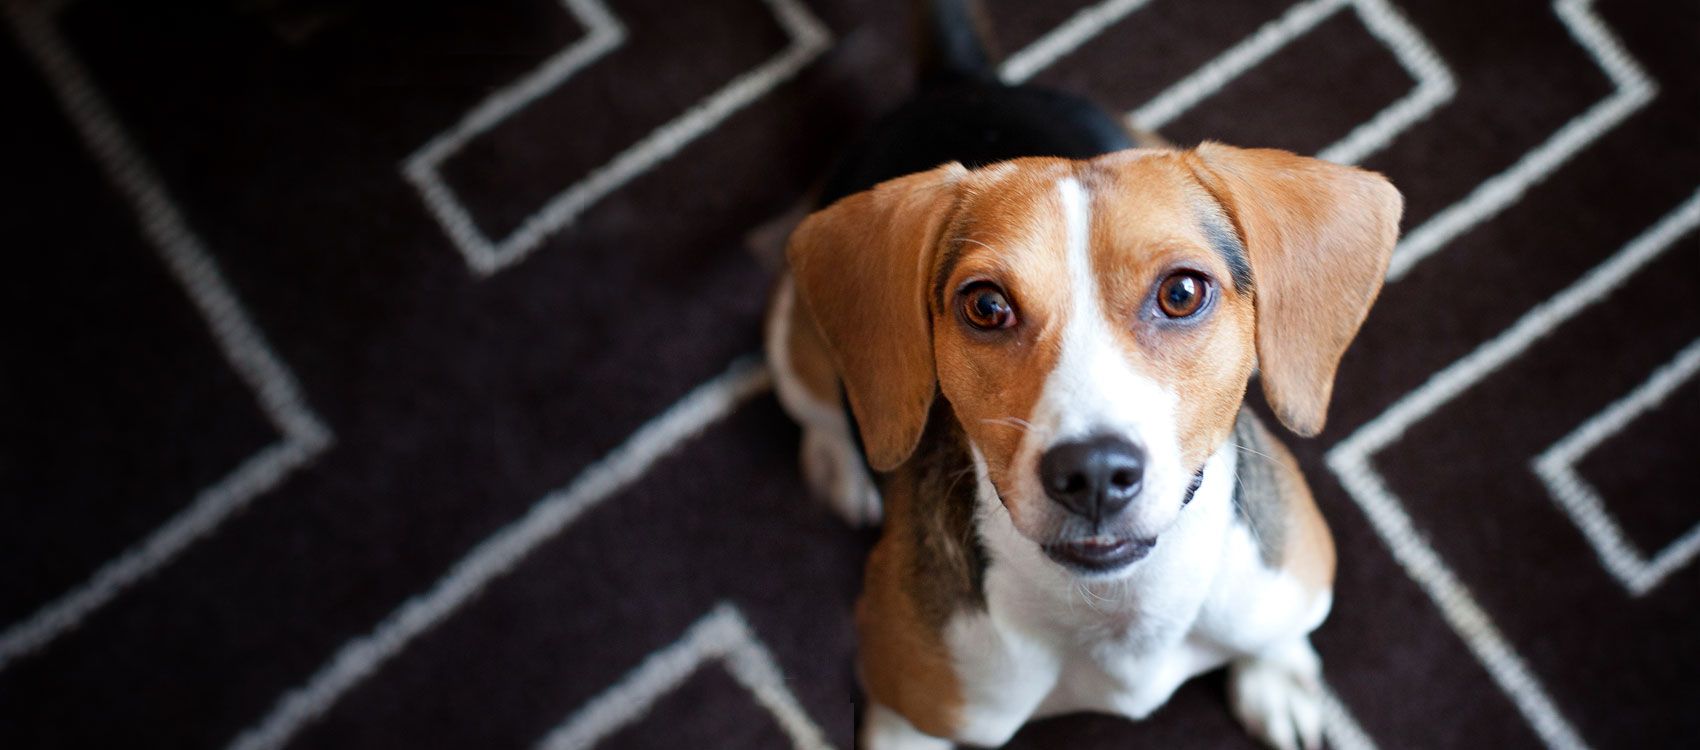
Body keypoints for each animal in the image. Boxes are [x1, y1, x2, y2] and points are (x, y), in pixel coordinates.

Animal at [765, 2, 1400, 744]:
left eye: (1182, 292)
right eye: (986, 306)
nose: (1093, 472)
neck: (1120, 607)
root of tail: (959, 81)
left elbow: (1275, 633)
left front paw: (1279, 673)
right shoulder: (906, 716)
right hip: (793, 340)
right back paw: (839, 464)